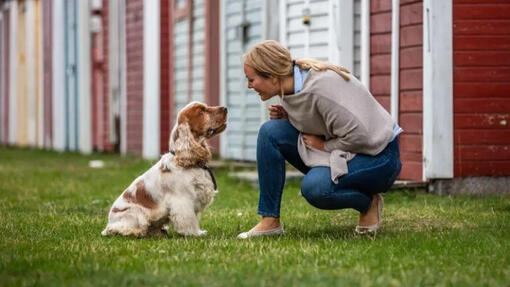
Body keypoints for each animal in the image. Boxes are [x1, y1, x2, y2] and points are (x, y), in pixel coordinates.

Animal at [101, 102, 227, 237]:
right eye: (201, 111)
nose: (225, 108)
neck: (188, 162)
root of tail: (109, 222)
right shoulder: (182, 200)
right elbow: (188, 219)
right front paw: (193, 234)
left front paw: (198, 232)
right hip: (135, 214)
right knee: (117, 229)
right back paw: (137, 232)